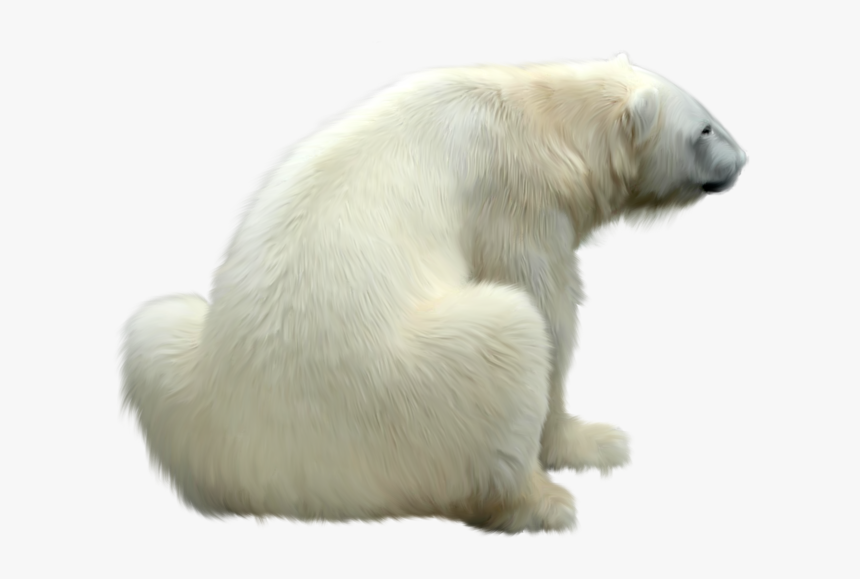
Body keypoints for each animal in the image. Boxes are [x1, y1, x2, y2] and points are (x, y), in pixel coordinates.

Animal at [121, 54, 747, 533]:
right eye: (705, 128)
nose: (742, 160)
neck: (541, 116)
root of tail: (278, 487)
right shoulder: (514, 194)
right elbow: (546, 304)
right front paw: (590, 442)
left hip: (187, 375)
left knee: (158, 325)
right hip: (401, 388)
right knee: (508, 336)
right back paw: (541, 502)